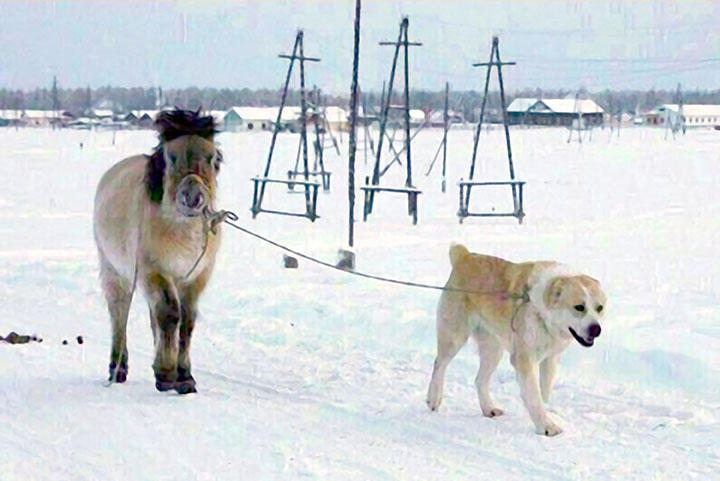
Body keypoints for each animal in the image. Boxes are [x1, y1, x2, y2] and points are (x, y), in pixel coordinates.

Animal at [94, 109, 222, 394]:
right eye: (171, 157)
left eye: (212, 158)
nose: (193, 198)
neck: (179, 229)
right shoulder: (154, 271)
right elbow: (169, 314)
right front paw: (166, 374)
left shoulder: (195, 278)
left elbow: (186, 320)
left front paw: (183, 376)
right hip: (115, 272)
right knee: (119, 313)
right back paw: (117, 368)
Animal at [424, 244, 604, 436]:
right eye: (579, 307)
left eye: (599, 308)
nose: (596, 329)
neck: (541, 310)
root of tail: (465, 256)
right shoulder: (525, 360)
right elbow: (534, 397)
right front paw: (546, 426)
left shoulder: (550, 358)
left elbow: (545, 391)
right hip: (454, 337)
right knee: (439, 364)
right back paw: (434, 398)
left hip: (493, 350)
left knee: (479, 380)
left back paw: (489, 409)